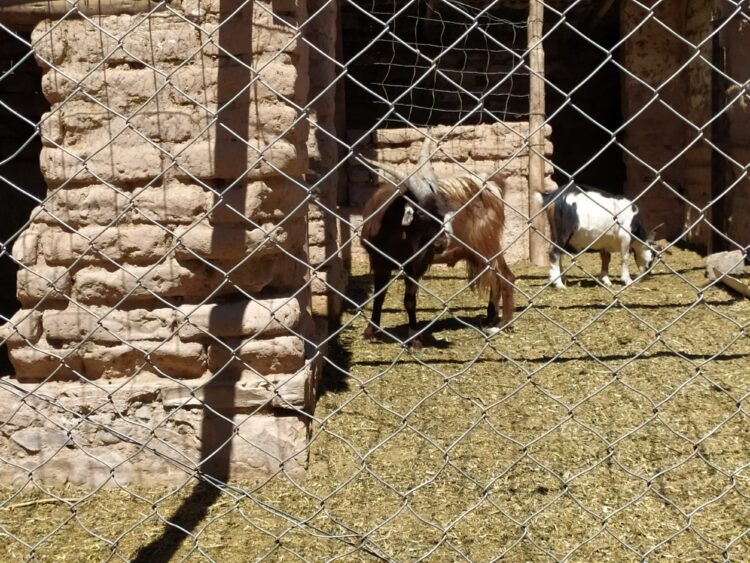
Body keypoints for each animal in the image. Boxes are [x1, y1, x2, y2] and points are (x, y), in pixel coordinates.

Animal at [360, 138, 515, 342]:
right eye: (419, 212)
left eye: (443, 210)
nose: (441, 243)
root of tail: (492, 187)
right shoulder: (379, 262)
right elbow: (379, 297)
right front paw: (370, 331)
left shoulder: (415, 264)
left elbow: (409, 300)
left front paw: (414, 338)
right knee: (495, 278)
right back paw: (491, 319)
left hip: (486, 245)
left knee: (505, 277)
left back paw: (503, 324)